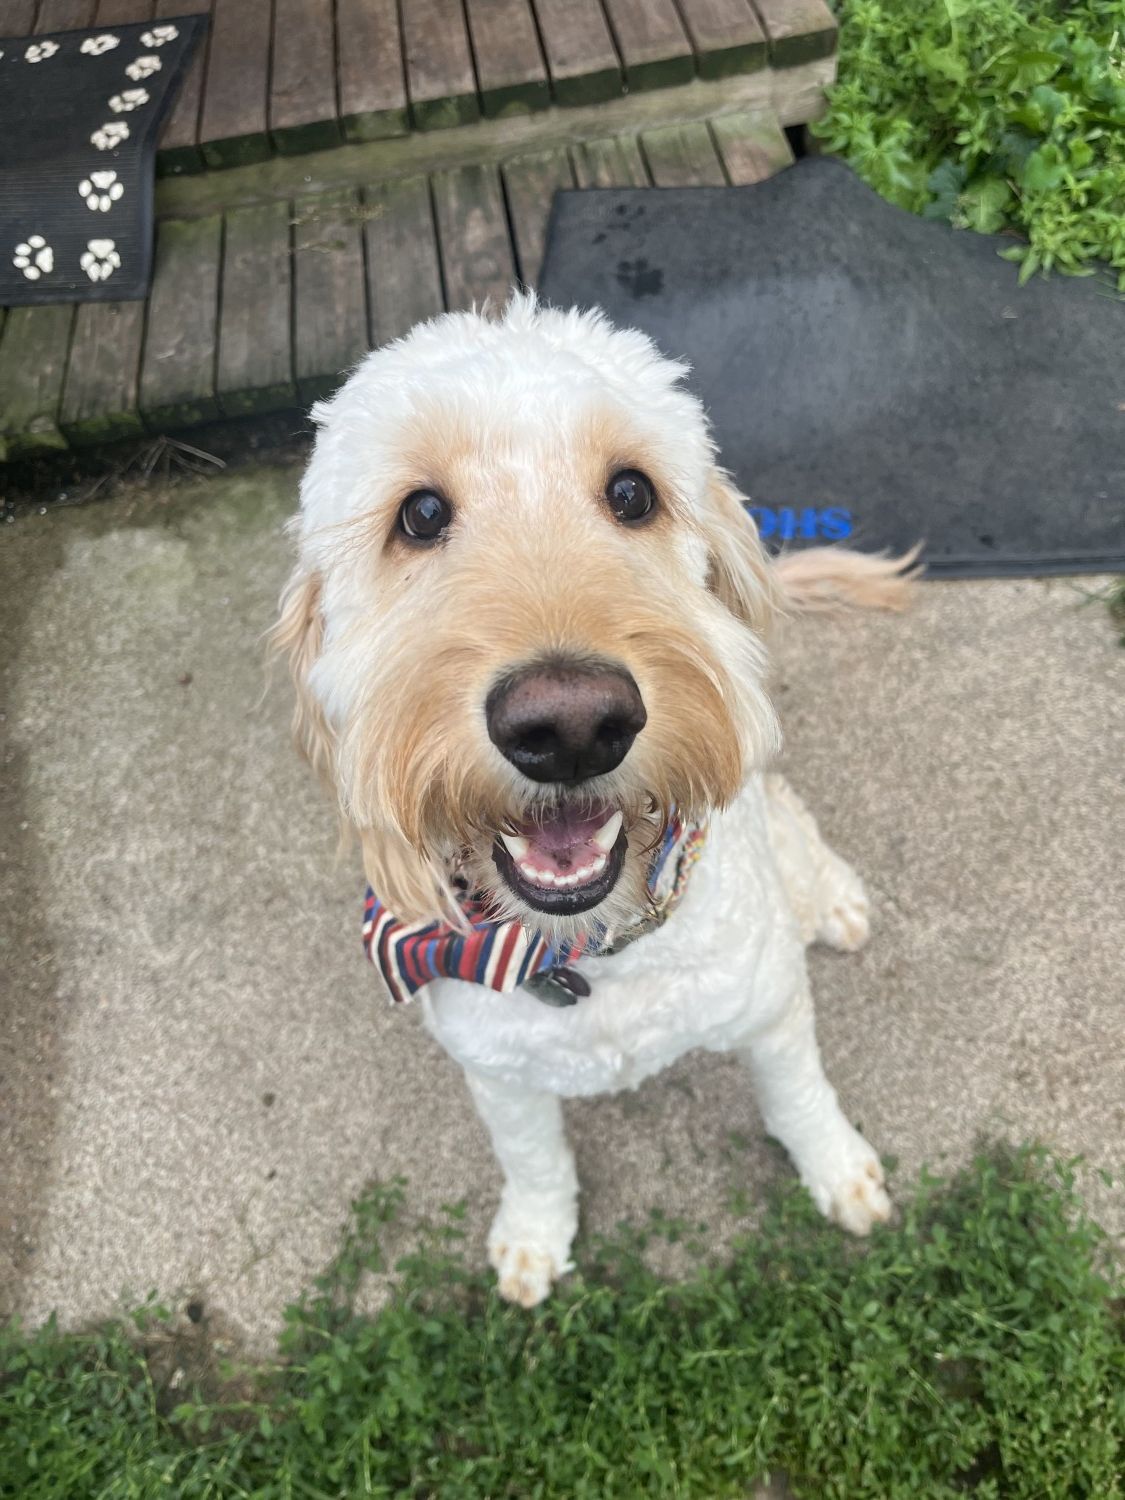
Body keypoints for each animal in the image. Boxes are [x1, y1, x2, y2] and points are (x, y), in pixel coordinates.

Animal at [276, 289, 918, 1302]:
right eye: (420, 514)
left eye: (631, 493)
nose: (572, 725)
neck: (589, 952)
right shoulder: (496, 1073)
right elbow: (532, 1157)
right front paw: (536, 1234)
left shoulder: (772, 1010)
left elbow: (798, 1093)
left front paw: (837, 1167)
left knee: (786, 811)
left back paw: (830, 898)